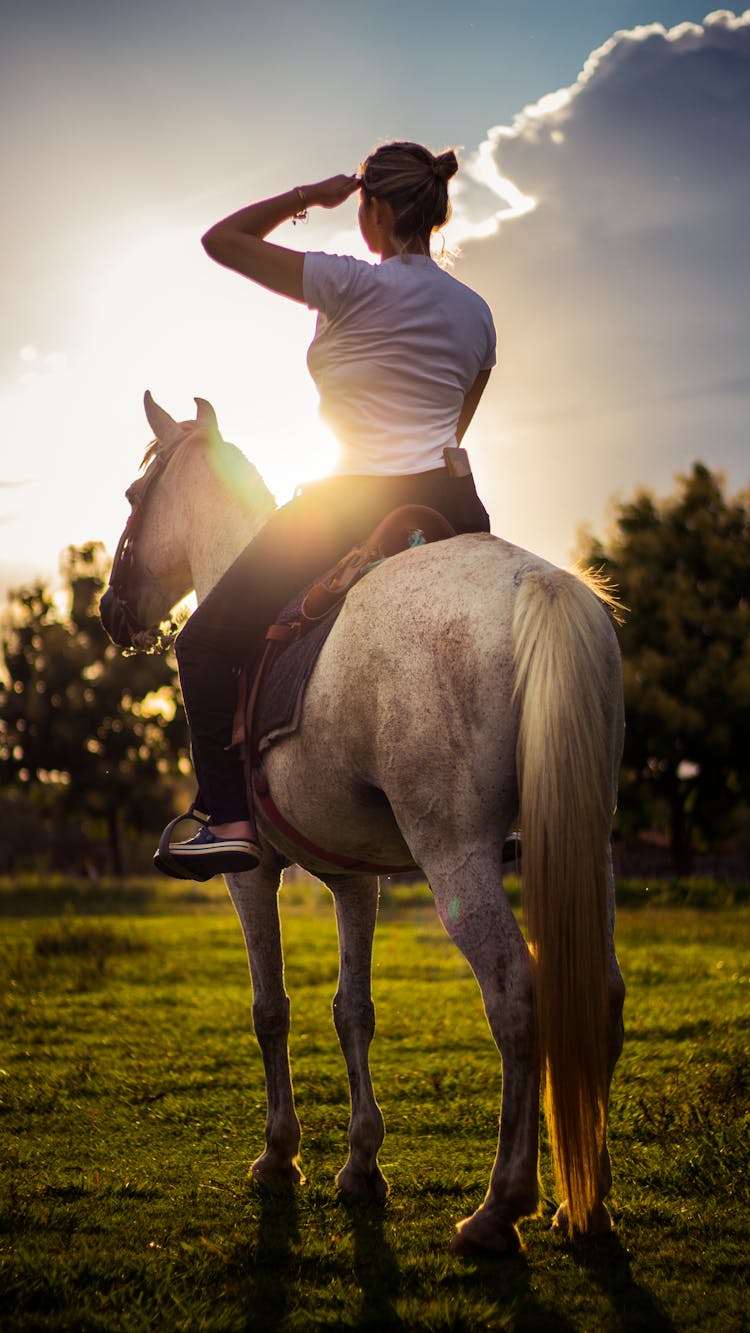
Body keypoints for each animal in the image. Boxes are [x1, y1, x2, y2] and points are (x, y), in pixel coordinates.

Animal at [101, 389, 628, 1253]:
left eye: (134, 495)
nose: (113, 610)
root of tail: (534, 581)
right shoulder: (356, 879)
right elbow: (353, 1010)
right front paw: (360, 1164)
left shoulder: (251, 874)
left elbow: (271, 1009)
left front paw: (279, 1155)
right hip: (592, 843)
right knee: (605, 993)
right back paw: (586, 1203)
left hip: (456, 856)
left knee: (516, 992)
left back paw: (501, 1204)